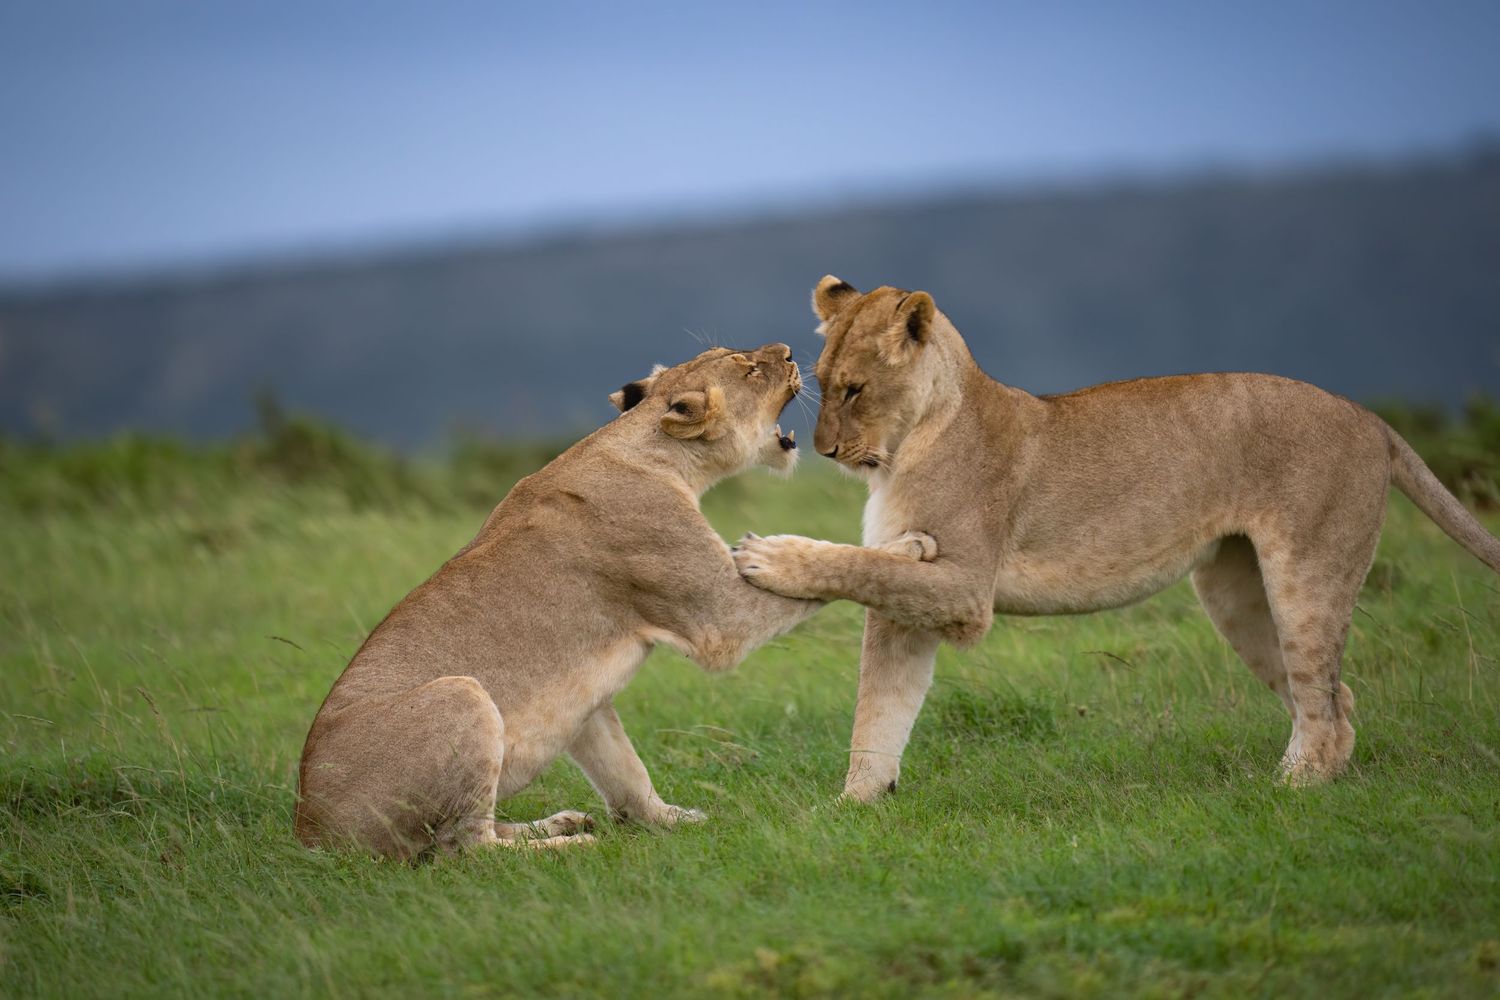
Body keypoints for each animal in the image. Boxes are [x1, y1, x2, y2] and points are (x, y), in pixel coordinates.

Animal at [295, 341, 934, 858]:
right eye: (751, 368)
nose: (789, 351)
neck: (658, 456)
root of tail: (308, 832)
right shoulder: (720, 616)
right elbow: (830, 569)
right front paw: (909, 544)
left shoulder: (584, 697)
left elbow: (626, 771)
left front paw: (672, 821)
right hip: (460, 696)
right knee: (466, 850)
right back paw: (567, 845)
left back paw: (559, 822)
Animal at [733, 276, 1500, 799]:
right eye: (819, 382)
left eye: (856, 389)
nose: (825, 451)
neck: (913, 439)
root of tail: (1372, 418)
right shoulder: (918, 607)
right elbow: (879, 709)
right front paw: (854, 809)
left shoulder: (965, 589)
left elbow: (858, 569)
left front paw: (770, 556)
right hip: (1234, 591)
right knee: (1336, 701)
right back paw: (1292, 779)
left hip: (1305, 574)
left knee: (1325, 700)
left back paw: (1290, 792)